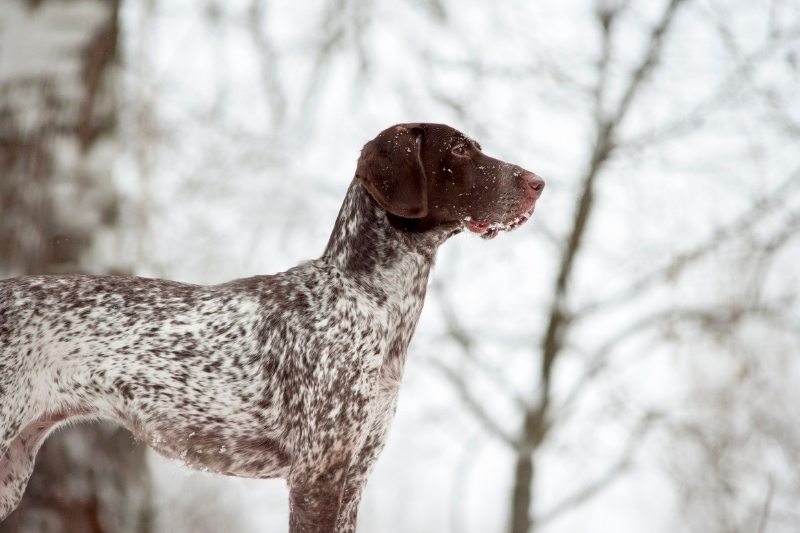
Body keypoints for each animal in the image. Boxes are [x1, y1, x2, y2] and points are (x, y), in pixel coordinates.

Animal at [0, 122, 544, 528]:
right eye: (459, 149)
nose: (539, 182)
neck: (369, 298)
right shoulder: (318, 474)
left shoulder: (355, 474)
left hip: (13, 467)